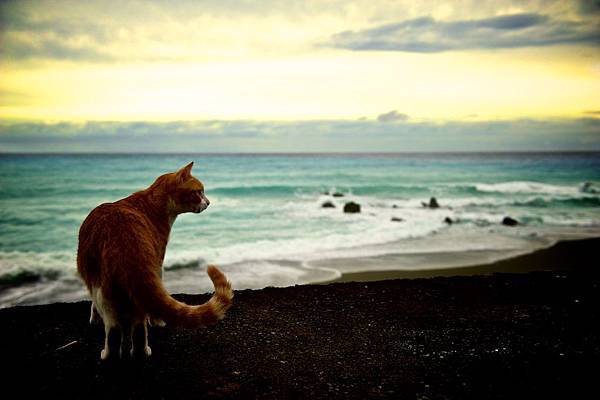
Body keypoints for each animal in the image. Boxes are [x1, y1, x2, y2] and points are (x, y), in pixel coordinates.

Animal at [75, 162, 234, 360]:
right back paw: (137, 352)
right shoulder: (158, 263)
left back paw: (116, 353)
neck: (153, 203)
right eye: (199, 192)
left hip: (104, 284)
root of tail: (123, 237)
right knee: (134, 328)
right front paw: (157, 320)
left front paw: (95, 317)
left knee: (117, 329)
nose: (208, 202)